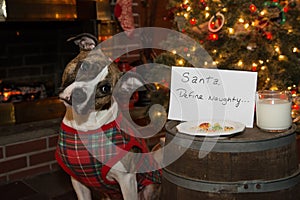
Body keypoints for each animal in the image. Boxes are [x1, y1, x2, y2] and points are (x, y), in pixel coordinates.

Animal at [54, 33, 162, 199]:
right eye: (84, 66)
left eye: (105, 88)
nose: (79, 94)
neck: (84, 126)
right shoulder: (78, 182)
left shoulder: (127, 181)